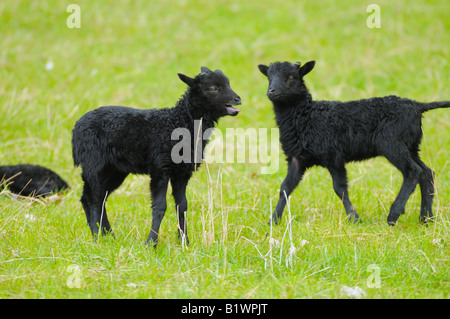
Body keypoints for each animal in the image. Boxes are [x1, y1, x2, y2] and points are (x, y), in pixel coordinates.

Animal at [73, 67, 243, 248]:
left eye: (228, 83)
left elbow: (182, 206)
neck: (179, 123)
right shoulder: (160, 169)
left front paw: (184, 242)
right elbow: (160, 206)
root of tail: (77, 127)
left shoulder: (182, 173)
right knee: (94, 199)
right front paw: (151, 243)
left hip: (114, 170)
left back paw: (109, 236)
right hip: (94, 163)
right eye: (213, 88)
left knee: (93, 198)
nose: (237, 99)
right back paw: (97, 238)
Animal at [258, 60, 448, 225]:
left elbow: (340, 188)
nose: (271, 91)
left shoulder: (333, 155)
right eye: (268, 77)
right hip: (411, 146)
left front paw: (354, 218)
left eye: (291, 77)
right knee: (427, 173)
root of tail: (417, 106)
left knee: (413, 171)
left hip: (392, 143)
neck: (306, 116)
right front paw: (273, 221)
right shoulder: (297, 158)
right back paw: (426, 218)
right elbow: (285, 187)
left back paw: (394, 214)